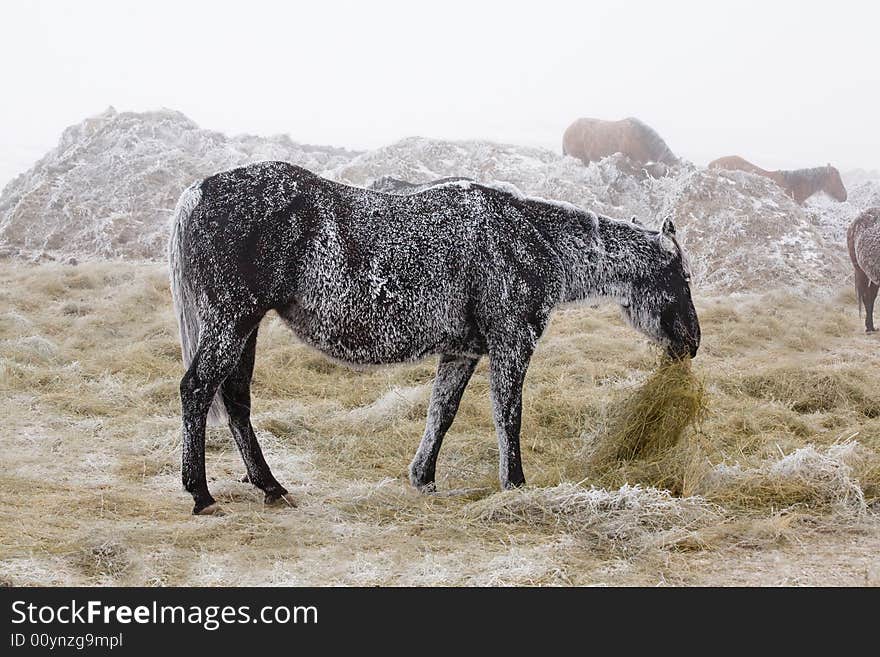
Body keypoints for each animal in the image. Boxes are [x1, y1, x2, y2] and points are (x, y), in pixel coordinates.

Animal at [168, 161, 696, 516]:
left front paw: (423, 478)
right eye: (684, 276)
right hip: (232, 321)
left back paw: (271, 487)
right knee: (198, 389)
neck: (529, 239)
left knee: (236, 399)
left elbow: (441, 413)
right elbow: (508, 416)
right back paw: (202, 494)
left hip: (245, 327)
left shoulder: (462, 352)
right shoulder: (512, 342)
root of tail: (197, 190)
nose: (692, 343)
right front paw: (515, 484)